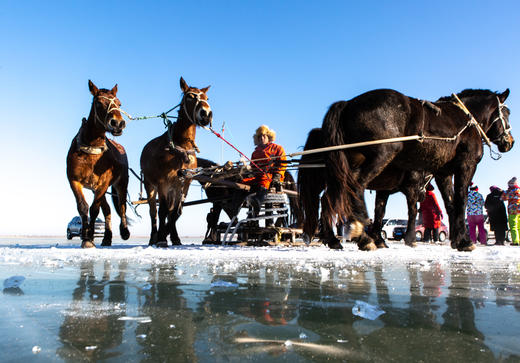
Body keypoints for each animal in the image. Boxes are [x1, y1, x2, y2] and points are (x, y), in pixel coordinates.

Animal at [66, 80, 130, 249]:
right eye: (99, 103)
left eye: (119, 104)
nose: (118, 124)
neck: (91, 149)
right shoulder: (74, 181)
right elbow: (83, 207)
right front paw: (86, 238)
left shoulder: (103, 184)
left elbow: (94, 209)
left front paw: (89, 237)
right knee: (107, 209)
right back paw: (107, 238)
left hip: (120, 184)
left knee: (121, 206)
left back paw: (124, 231)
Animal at [141, 77, 212, 247]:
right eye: (190, 96)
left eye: (207, 98)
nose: (206, 114)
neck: (181, 147)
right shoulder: (162, 182)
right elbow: (162, 211)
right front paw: (161, 238)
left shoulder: (184, 183)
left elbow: (175, 212)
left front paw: (174, 237)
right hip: (149, 185)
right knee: (153, 211)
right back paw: (153, 237)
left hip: (173, 188)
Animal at [298, 89, 512, 252]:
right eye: (507, 112)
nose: (510, 141)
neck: (465, 120)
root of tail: (348, 104)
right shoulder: (463, 167)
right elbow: (456, 202)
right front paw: (463, 241)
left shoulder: (441, 173)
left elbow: (449, 205)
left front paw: (457, 239)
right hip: (381, 154)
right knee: (355, 187)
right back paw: (361, 234)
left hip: (342, 171)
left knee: (330, 199)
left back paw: (336, 238)